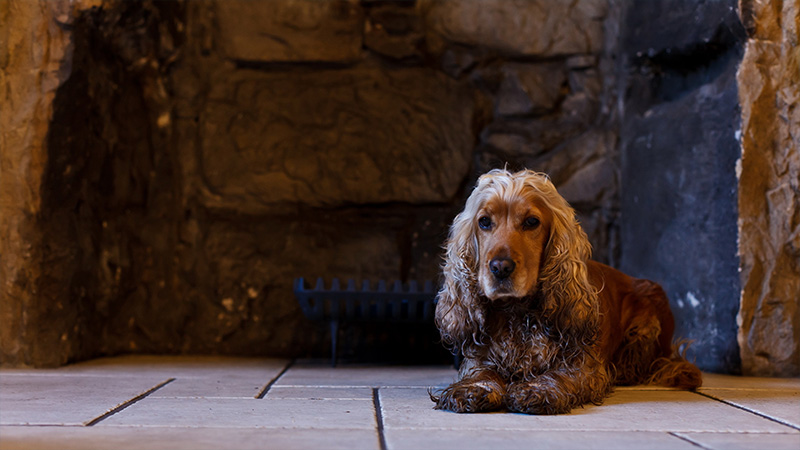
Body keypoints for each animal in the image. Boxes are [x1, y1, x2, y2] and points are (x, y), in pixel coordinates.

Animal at [432, 169, 700, 414]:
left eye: (531, 222)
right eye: (484, 222)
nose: (500, 268)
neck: (517, 314)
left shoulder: (583, 362)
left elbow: (561, 374)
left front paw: (537, 389)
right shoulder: (479, 355)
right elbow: (481, 372)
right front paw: (474, 388)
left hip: (649, 315)